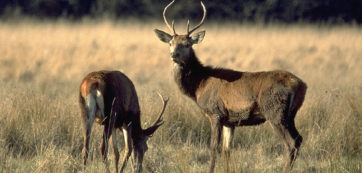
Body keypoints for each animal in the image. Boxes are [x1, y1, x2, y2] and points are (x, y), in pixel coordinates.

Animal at [154, 0, 306, 172]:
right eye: (171, 43)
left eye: (187, 44)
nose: (173, 55)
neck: (199, 86)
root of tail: (300, 85)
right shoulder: (230, 121)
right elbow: (227, 150)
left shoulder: (216, 113)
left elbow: (214, 147)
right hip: (290, 114)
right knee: (299, 139)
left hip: (274, 111)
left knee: (291, 143)